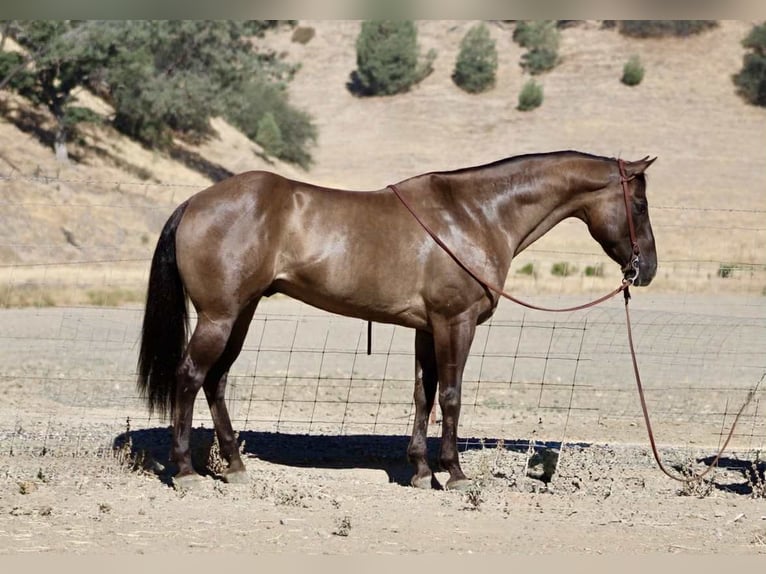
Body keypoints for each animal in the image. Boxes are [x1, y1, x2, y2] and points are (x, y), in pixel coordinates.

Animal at [137, 150, 657, 490]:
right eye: (639, 205)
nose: (646, 269)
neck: (474, 214)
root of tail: (195, 203)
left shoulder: (427, 329)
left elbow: (424, 396)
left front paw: (422, 471)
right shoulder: (455, 322)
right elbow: (450, 396)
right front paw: (454, 473)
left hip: (239, 315)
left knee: (215, 381)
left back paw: (235, 467)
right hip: (219, 316)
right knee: (190, 377)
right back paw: (186, 472)